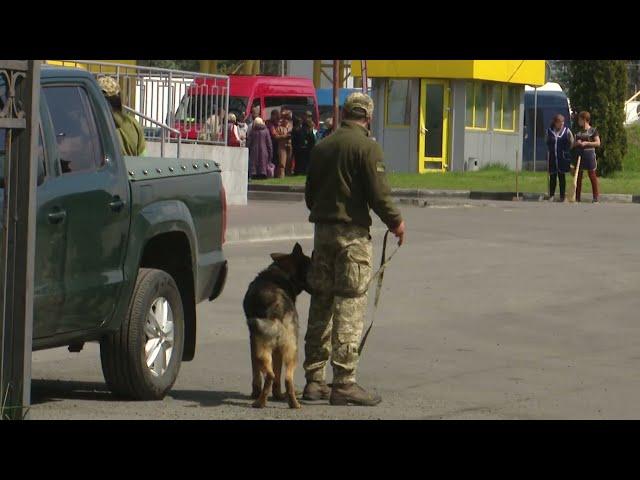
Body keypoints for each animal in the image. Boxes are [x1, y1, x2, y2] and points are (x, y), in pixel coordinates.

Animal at [242, 242, 312, 406]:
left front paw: (255, 392)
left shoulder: (252, 342)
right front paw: (277, 395)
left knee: (270, 375)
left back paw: (259, 403)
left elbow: (255, 373)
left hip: (260, 349)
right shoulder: (279, 351)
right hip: (291, 352)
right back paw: (292, 403)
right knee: (285, 377)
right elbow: (278, 374)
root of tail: (277, 313)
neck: (283, 272)